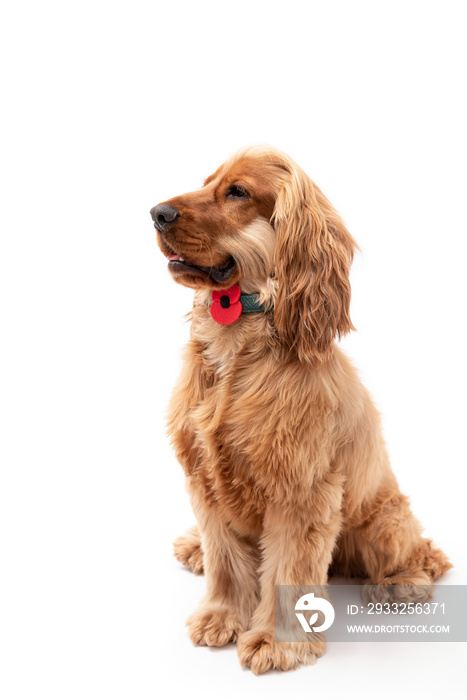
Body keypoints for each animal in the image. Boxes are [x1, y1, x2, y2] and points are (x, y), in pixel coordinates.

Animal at [152, 146, 452, 672]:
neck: (239, 341)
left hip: (384, 521)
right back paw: (193, 547)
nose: (156, 213)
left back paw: (401, 582)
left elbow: (287, 569)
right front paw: (221, 614)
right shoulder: (203, 474)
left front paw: (277, 642)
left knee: (421, 552)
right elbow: (224, 555)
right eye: (206, 182)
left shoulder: (302, 488)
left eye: (238, 192)